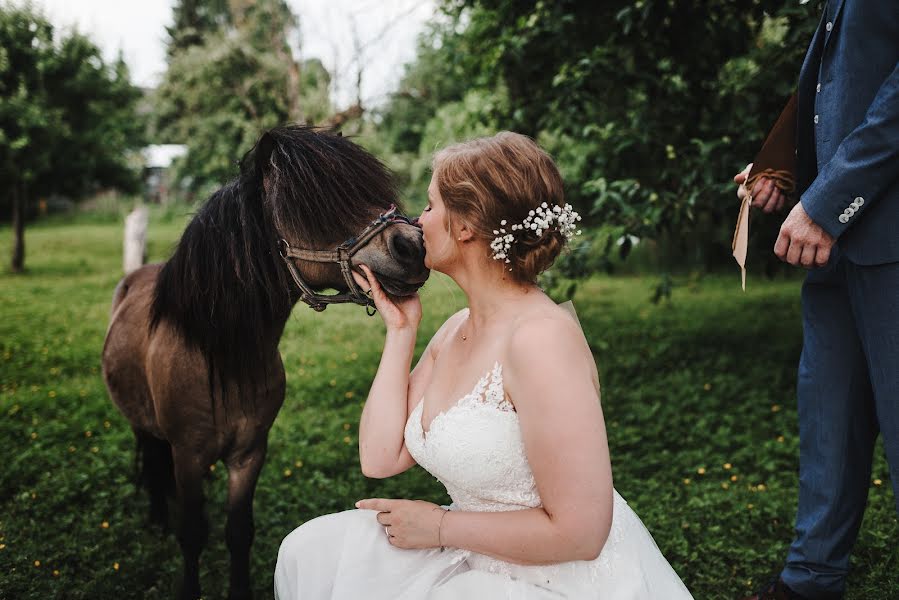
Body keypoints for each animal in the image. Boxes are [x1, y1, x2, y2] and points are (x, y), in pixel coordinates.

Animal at [102, 124, 428, 596]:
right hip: (141, 423)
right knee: (151, 454)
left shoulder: (250, 453)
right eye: (311, 205)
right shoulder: (187, 456)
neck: (222, 359)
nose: (412, 246)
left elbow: (239, 532)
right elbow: (193, 533)